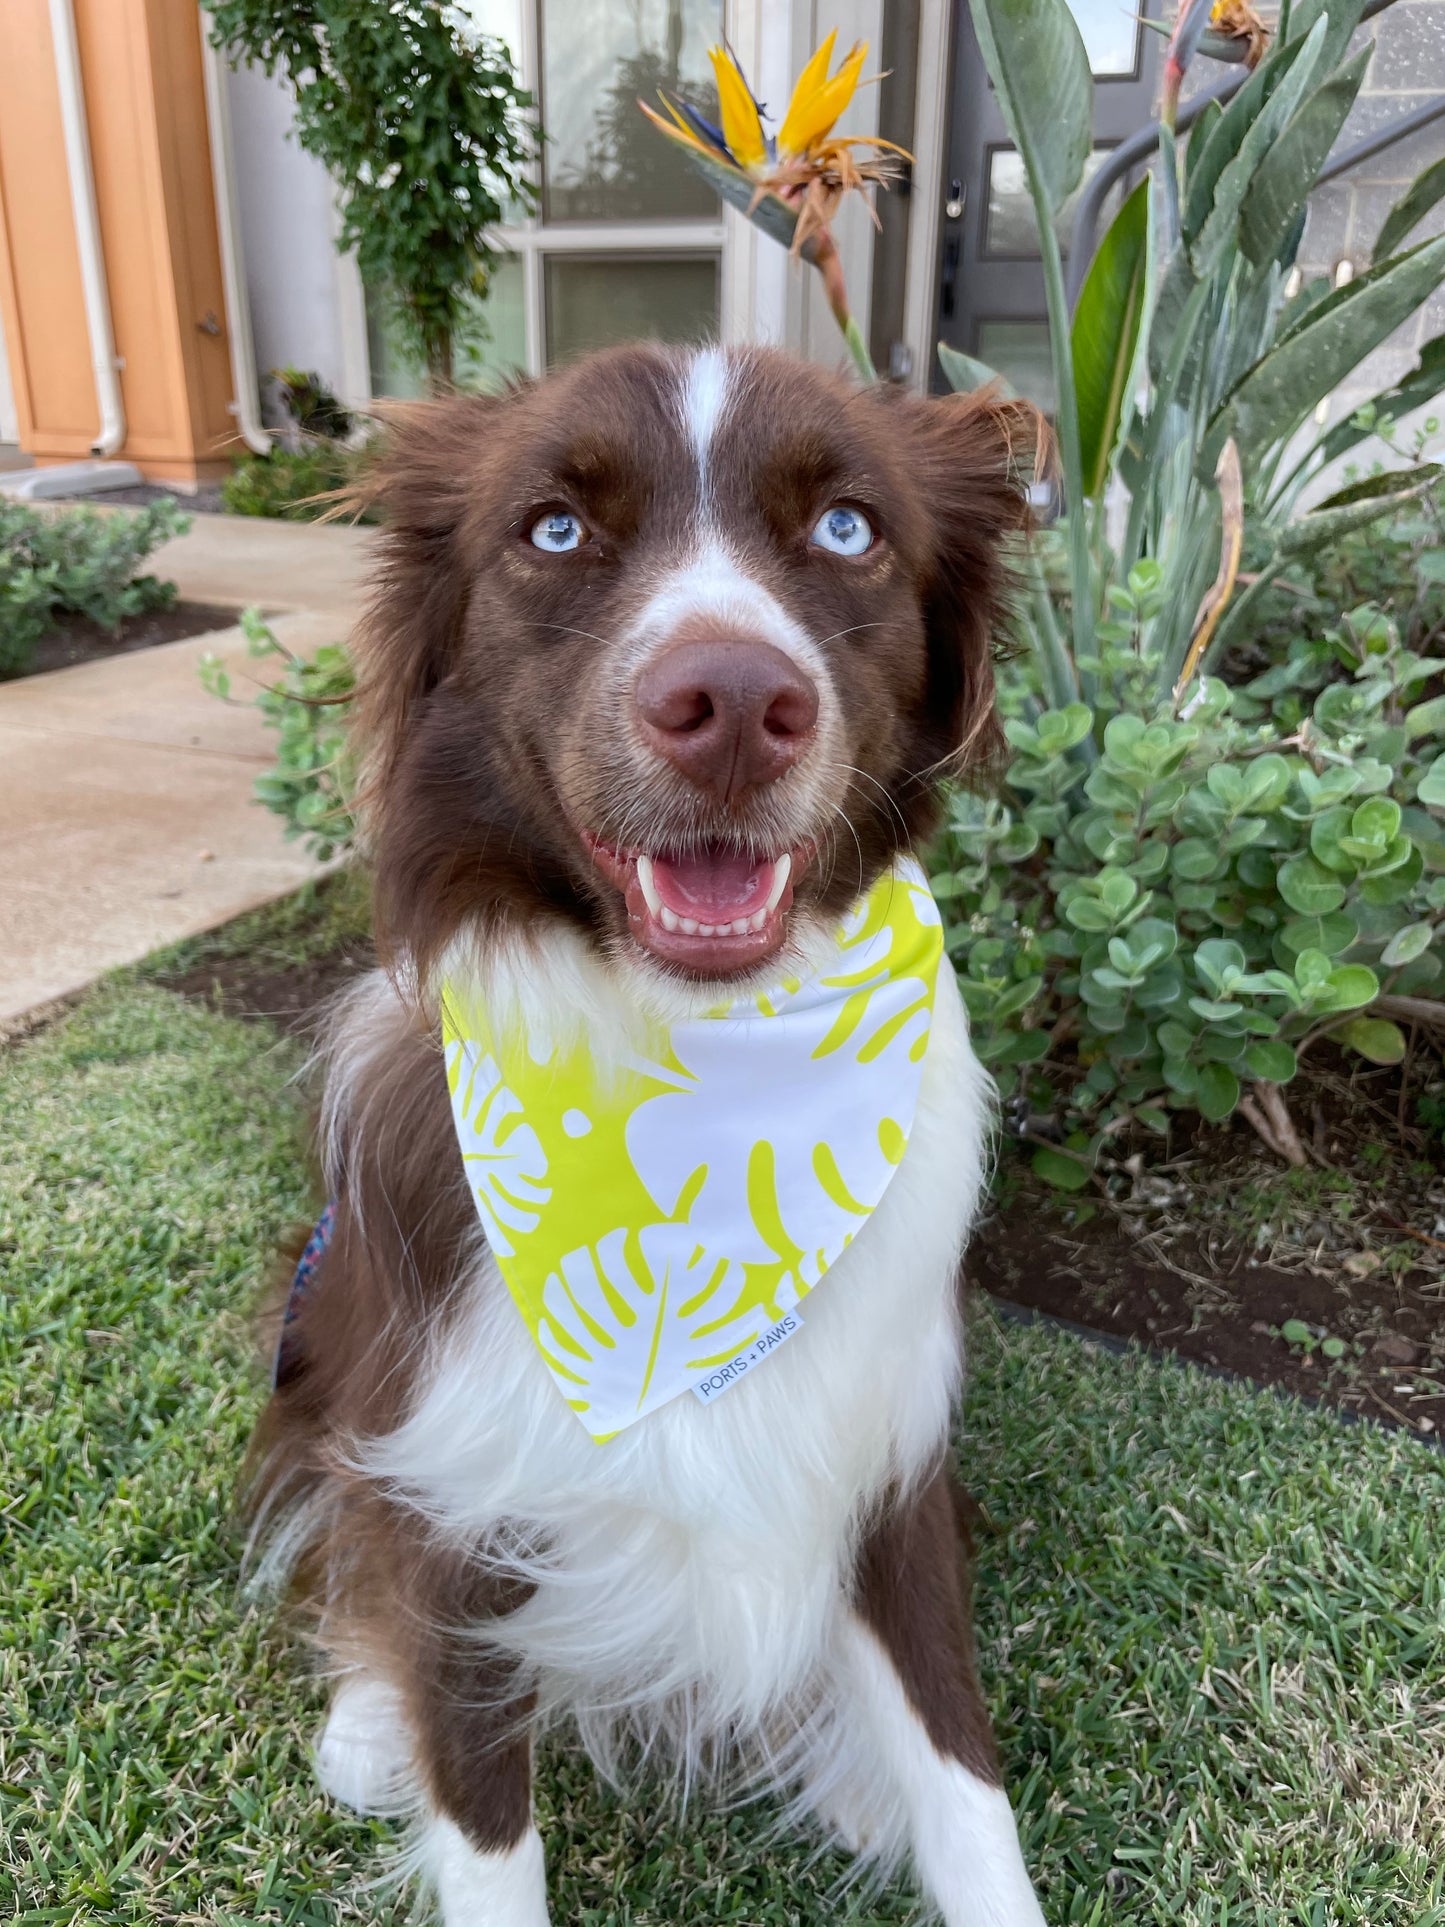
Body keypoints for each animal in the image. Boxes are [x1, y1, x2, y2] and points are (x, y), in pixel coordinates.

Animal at [254, 339, 1055, 1919]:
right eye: (554, 528)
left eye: (848, 527)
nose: (734, 703)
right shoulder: (457, 1482)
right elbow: (480, 1811)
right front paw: (408, 1736)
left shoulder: (889, 1456)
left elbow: (964, 1780)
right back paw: (368, 1723)